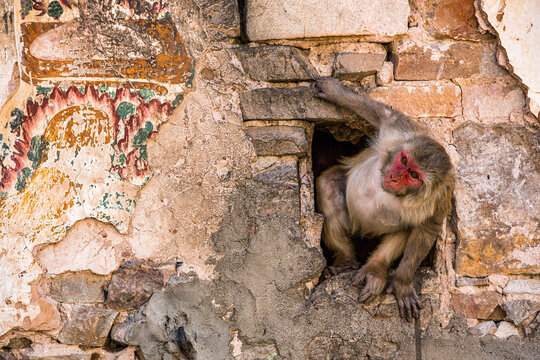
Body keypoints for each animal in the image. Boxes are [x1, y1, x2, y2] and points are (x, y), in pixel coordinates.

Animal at [314, 76, 454, 320]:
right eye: (404, 160)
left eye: (414, 175)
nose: (394, 176)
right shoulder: (399, 135)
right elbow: (385, 116)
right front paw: (335, 92)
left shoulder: (440, 196)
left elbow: (426, 228)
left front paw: (402, 283)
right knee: (329, 185)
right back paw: (345, 262)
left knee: (405, 229)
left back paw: (376, 269)